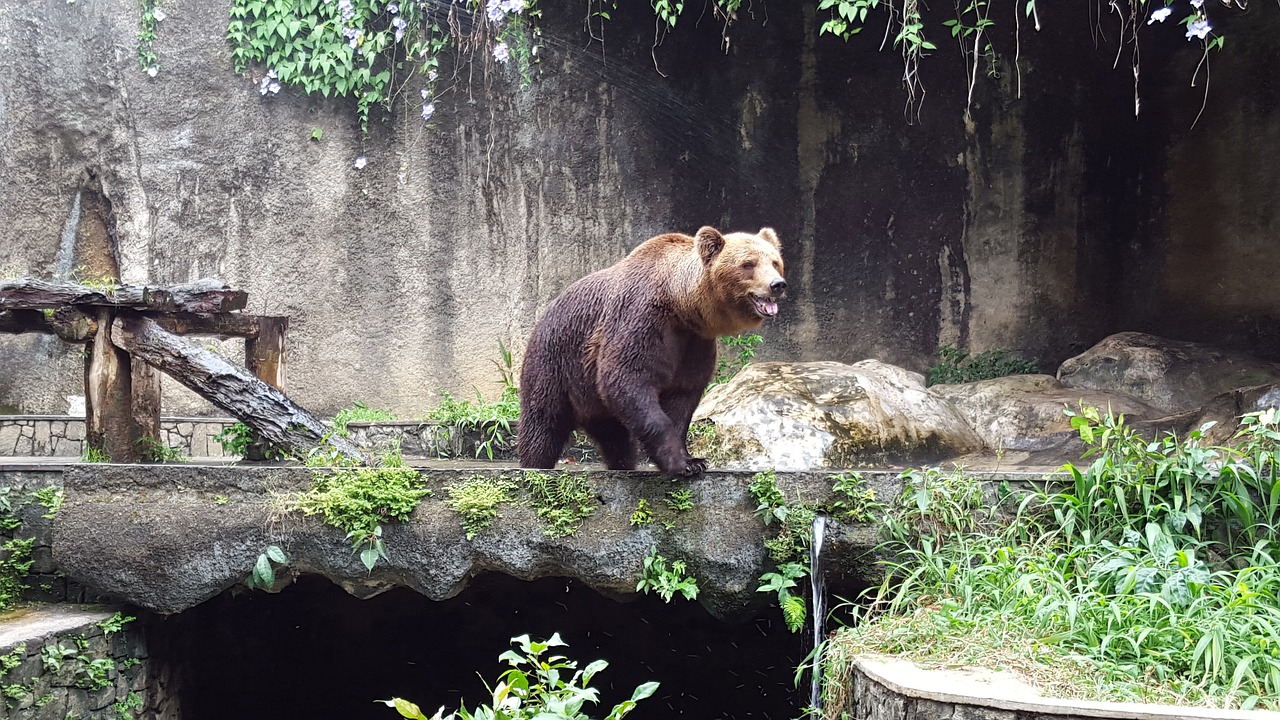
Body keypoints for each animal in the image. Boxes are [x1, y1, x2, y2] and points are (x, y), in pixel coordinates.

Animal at [517, 224, 778, 471]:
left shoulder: (694, 342)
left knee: (614, 437)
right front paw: (680, 462)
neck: (679, 303)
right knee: (543, 424)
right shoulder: (641, 321)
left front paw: (693, 460)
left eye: (775, 261)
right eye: (748, 264)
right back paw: (535, 464)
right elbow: (626, 378)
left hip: (590, 395)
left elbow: (682, 394)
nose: (777, 284)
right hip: (556, 364)